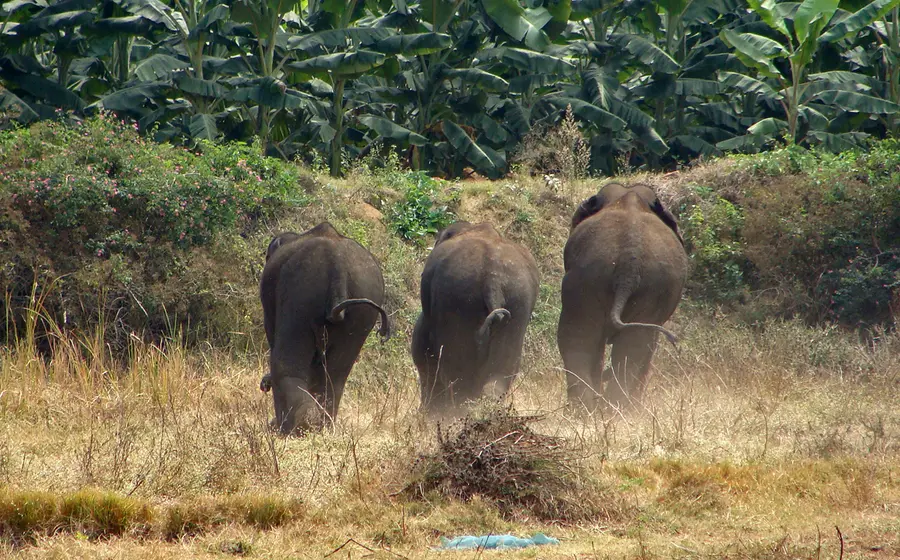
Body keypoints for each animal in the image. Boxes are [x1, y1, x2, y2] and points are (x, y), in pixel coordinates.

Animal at [259, 222, 390, 435]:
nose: (264, 385)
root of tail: (337, 265)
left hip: (302, 292)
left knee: (286, 362)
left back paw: (294, 426)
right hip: (362, 310)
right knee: (336, 375)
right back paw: (322, 426)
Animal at [557, 182, 688, 411]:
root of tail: (628, 266)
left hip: (607, 283)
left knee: (589, 338)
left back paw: (597, 409)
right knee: (627, 344)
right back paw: (608, 409)